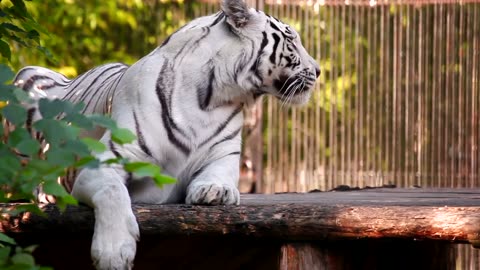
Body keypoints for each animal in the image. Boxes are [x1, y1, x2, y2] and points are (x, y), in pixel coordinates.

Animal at [14, 1, 318, 268]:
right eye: (291, 39)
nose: (318, 70)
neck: (211, 99)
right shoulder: (101, 163)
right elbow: (113, 192)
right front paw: (113, 253)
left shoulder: (224, 156)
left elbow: (218, 178)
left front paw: (213, 191)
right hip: (25, 81)